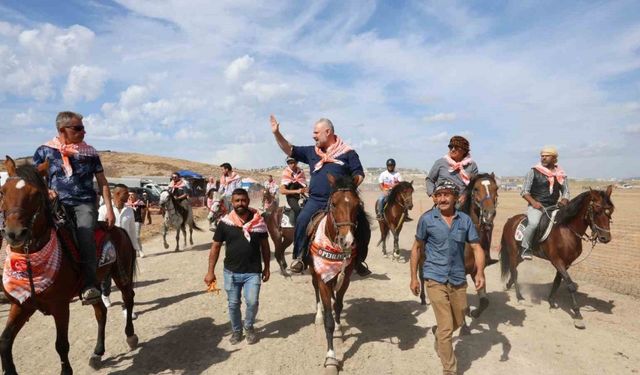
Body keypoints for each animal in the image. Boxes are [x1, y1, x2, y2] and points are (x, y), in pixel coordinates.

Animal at [0, 157, 139, 374]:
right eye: (3, 191)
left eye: (36, 194)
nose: (14, 233)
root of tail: (117, 228)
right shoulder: (21, 305)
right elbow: (5, 342)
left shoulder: (60, 306)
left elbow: (61, 345)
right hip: (95, 284)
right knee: (101, 312)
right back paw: (97, 353)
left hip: (120, 274)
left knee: (128, 297)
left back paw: (130, 335)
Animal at [308, 174, 362, 374]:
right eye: (334, 204)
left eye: (357, 205)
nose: (347, 240)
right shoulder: (323, 279)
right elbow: (328, 320)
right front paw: (331, 358)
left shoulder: (345, 278)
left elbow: (338, 305)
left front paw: (339, 329)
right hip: (314, 273)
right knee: (316, 293)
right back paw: (318, 315)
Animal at [500, 187, 616, 328]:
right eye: (597, 209)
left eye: (611, 210)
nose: (606, 238)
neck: (566, 230)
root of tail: (510, 220)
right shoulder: (557, 261)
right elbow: (570, 285)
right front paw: (577, 315)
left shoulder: (566, 263)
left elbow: (557, 281)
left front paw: (551, 302)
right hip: (512, 251)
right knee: (514, 270)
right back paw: (519, 297)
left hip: (521, 255)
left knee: (514, 269)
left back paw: (508, 285)